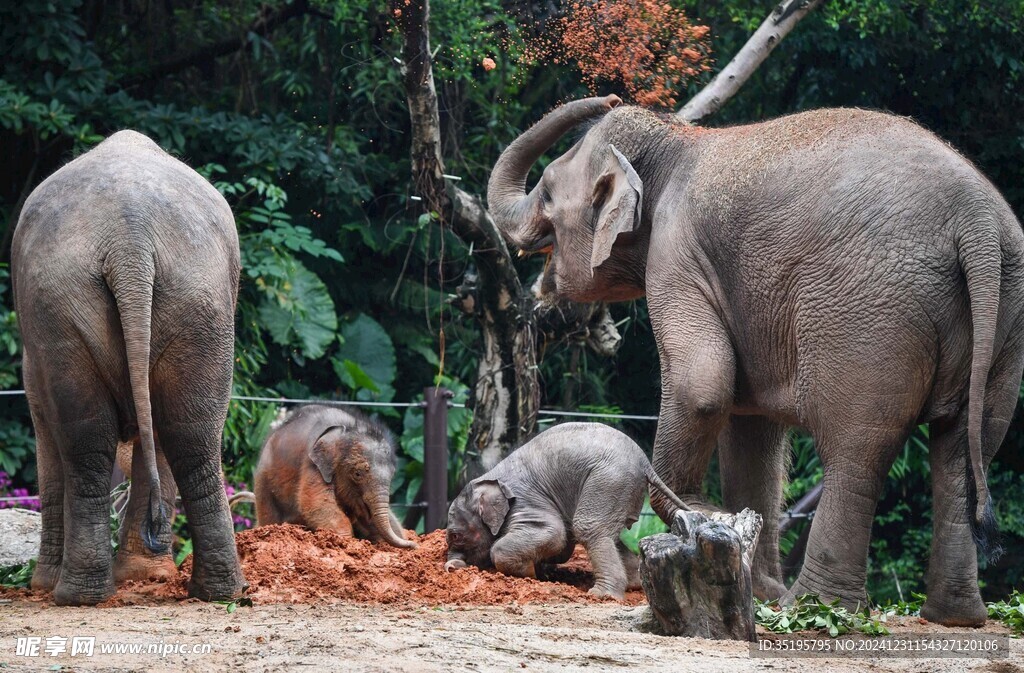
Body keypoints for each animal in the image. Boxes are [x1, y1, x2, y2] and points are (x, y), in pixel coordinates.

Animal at [12, 129, 246, 605]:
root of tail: (129, 239)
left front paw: (43, 583)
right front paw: (144, 576)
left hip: (62, 304)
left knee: (87, 441)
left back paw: (74, 594)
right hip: (199, 303)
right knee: (189, 433)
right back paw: (217, 592)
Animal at [253, 405, 416, 549]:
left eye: (393, 475)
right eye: (357, 474)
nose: (414, 544)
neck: (346, 428)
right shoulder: (312, 464)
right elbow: (317, 504)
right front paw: (345, 543)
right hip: (263, 478)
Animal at [444, 422, 690, 599]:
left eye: (456, 536)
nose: (451, 568)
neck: (488, 479)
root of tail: (645, 462)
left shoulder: (525, 500)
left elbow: (555, 535)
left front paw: (531, 574)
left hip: (609, 480)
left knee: (589, 528)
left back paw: (603, 595)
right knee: (609, 535)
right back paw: (632, 584)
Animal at [486, 95, 1024, 626]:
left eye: (547, 192)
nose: (610, 95)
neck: (675, 140)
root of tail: (975, 220)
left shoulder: (677, 254)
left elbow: (701, 386)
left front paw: (697, 512)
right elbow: (750, 420)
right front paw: (755, 578)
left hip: (871, 318)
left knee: (859, 447)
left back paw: (816, 607)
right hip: (1006, 317)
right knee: (965, 446)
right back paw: (954, 617)